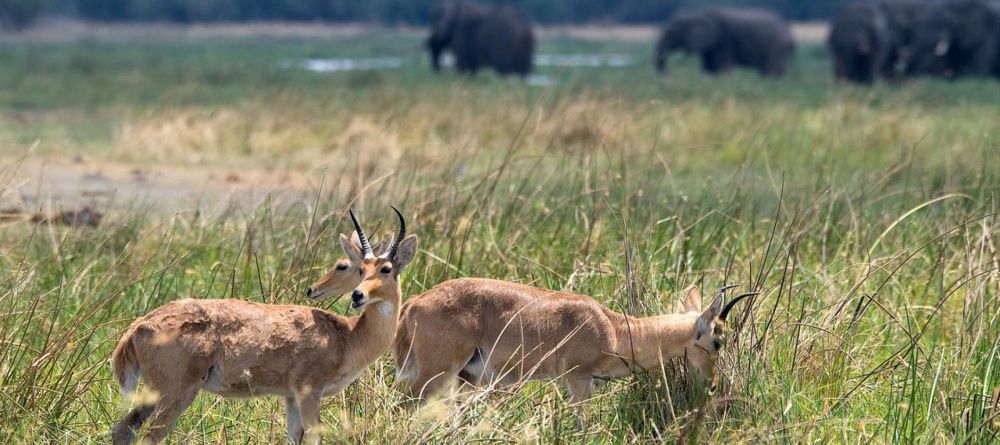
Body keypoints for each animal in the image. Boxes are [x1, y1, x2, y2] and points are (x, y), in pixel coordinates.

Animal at [110, 208, 418, 444]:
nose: (358, 295)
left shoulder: (291, 398)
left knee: (122, 430)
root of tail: (139, 326)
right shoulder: (309, 393)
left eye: (386, 269)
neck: (347, 336)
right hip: (176, 393)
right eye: (361, 269)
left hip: (153, 395)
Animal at [394, 280, 752, 404]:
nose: (712, 383)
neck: (615, 328)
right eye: (718, 341)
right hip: (435, 375)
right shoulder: (578, 380)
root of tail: (415, 301)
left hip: (464, 378)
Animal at [656, 7, 796, 77]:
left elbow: (723, 68)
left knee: (770, 71)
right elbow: (709, 69)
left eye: (672, 33)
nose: (668, 73)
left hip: (776, 47)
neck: (697, 15)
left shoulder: (724, 41)